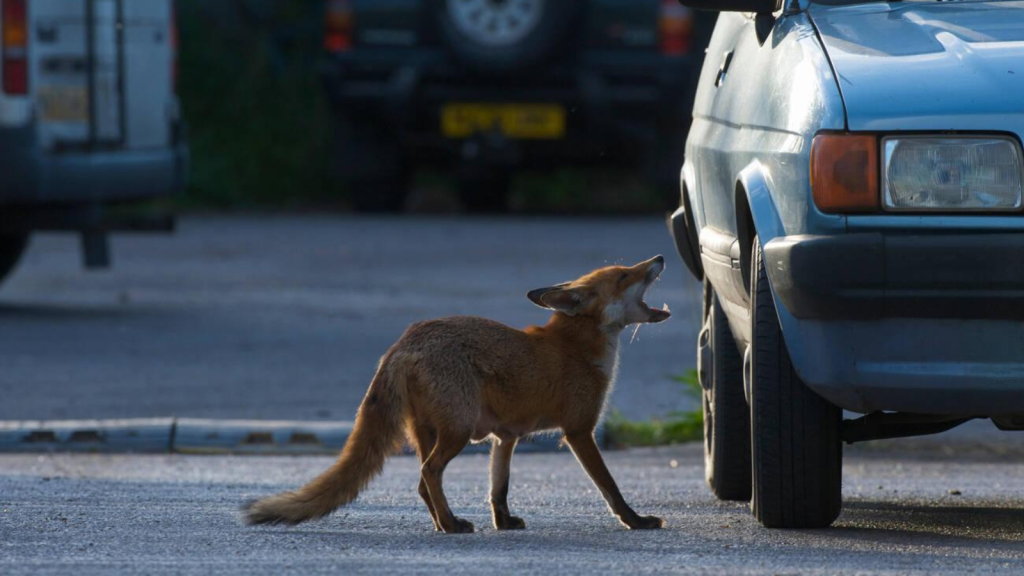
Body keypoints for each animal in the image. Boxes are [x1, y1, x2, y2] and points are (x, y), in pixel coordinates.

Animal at [241, 253, 671, 532]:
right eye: (624, 276)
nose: (660, 256)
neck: (577, 348)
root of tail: (402, 342)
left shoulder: (506, 436)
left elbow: (499, 488)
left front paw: (504, 523)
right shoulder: (579, 431)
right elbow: (611, 487)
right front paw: (636, 521)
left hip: (429, 431)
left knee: (421, 482)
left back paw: (441, 523)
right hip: (458, 429)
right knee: (429, 472)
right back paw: (450, 525)